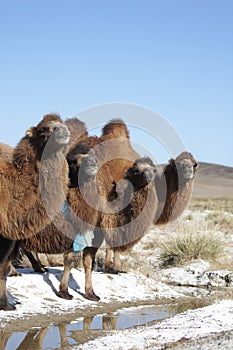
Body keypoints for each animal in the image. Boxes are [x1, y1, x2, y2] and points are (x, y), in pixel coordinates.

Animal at [0, 113, 70, 310]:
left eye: (61, 124)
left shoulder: (11, 234)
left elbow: (3, 269)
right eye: (42, 130)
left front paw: (6, 305)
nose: (63, 131)